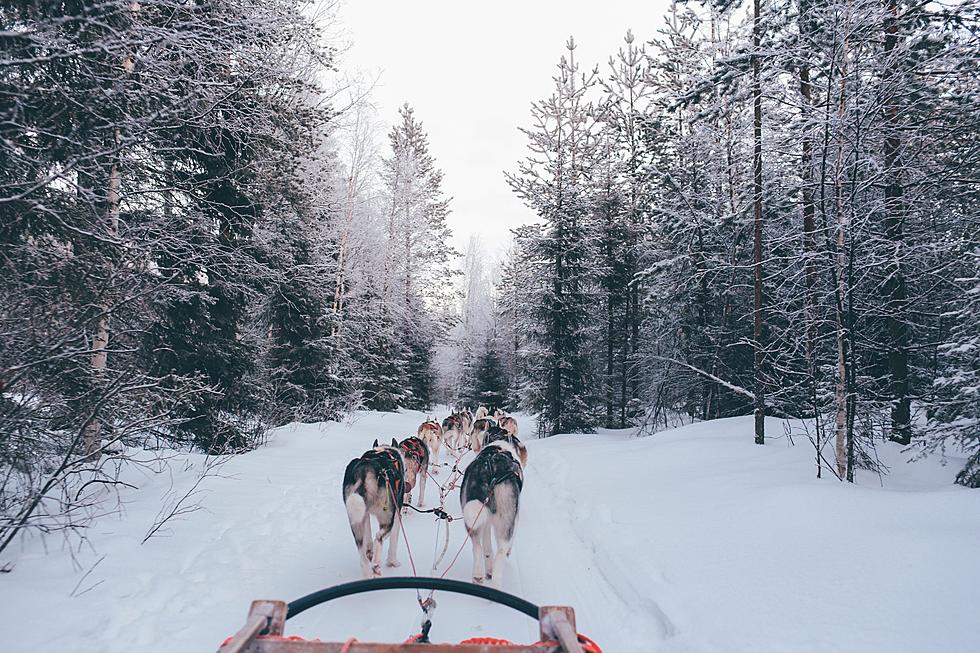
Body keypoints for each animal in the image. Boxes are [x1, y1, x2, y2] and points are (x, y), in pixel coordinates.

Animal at [344, 438, 406, 576]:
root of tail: (365, 469)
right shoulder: (396, 514)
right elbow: (393, 540)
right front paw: (393, 562)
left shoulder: (365, 514)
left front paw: (369, 550)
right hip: (387, 517)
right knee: (379, 537)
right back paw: (376, 564)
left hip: (355, 521)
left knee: (363, 554)